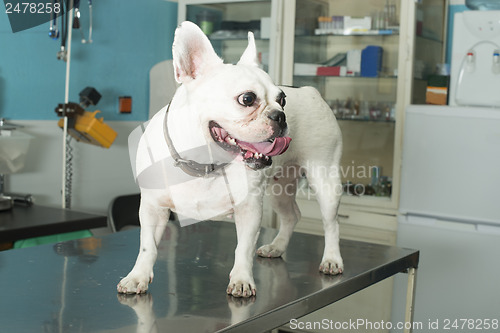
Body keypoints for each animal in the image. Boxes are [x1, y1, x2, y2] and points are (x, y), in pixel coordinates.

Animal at [117, 21, 344, 296]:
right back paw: (277, 247)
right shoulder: (152, 207)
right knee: (292, 215)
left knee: (331, 223)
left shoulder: (249, 209)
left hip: (325, 179)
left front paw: (242, 280)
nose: (281, 115)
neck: (204, 163)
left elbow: (243, 248)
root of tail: (312, 91)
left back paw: (331, 259)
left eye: (282, 99)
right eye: (247, 99)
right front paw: (137, 276)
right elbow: (147, 245)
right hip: (279, 188)